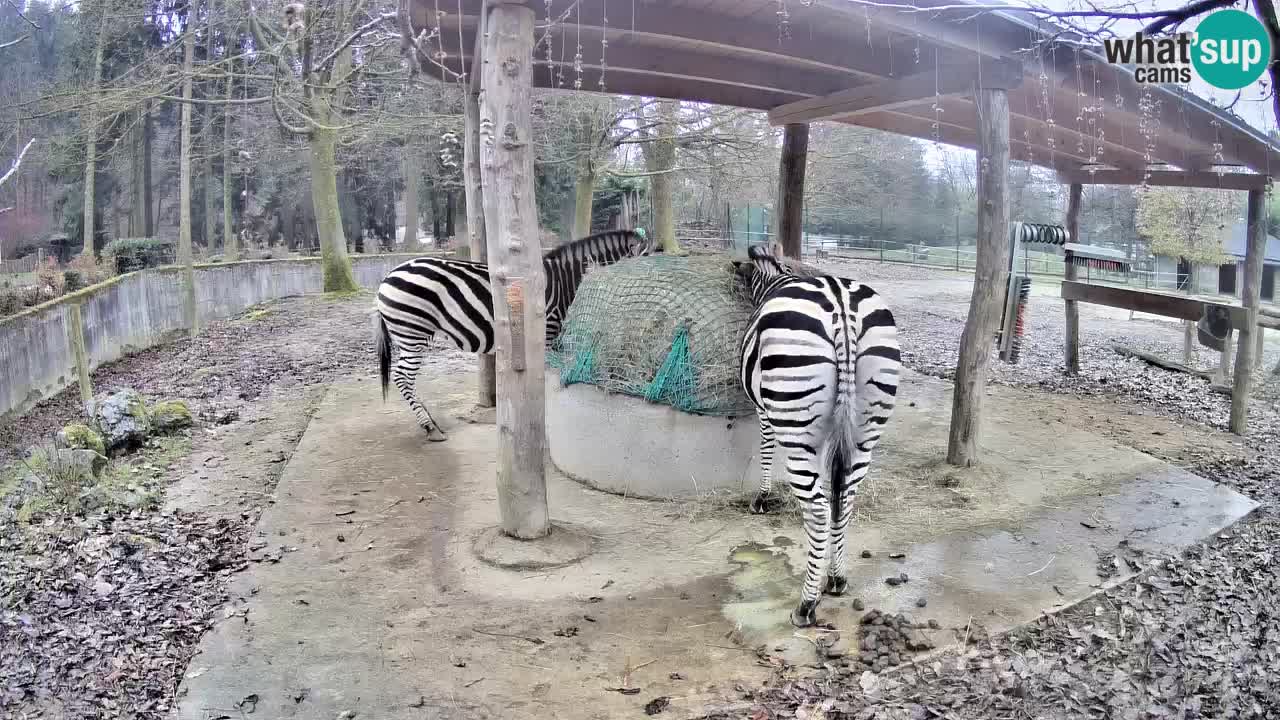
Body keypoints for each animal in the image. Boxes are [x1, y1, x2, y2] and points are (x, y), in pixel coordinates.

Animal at [368, 229, 650, 440]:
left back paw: (431, 421)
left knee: (406, 379)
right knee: (403, 377)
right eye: (648, 260)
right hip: (412, 332)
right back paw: (428, 427)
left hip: (410, 334)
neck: (564, 280)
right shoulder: (548, 333)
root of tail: (387, 276)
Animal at [737, 240, 906, 622]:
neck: (777, 279)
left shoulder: (765, 409)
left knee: (817, 509)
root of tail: (843, 307)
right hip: (865, 427)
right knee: (845, 499)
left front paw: (762, 499)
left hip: (798, 425)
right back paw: (837, 578)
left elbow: (766, 447)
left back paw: (806, 603)